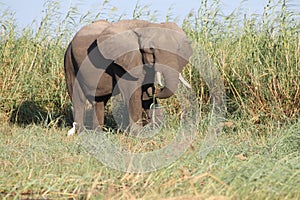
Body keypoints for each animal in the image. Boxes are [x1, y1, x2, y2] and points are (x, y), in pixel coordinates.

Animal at [64, 19, 193, 134]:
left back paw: (98, 134)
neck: (144, 25)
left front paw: (157, 129)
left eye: (178, 49)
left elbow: (145, 95)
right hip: (70, 60)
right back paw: (81, 133)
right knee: (78, 99)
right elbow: (132, 91)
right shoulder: (122, 62)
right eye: (151, 49)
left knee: (99, 100)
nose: (156, 89)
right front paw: (138, 134)